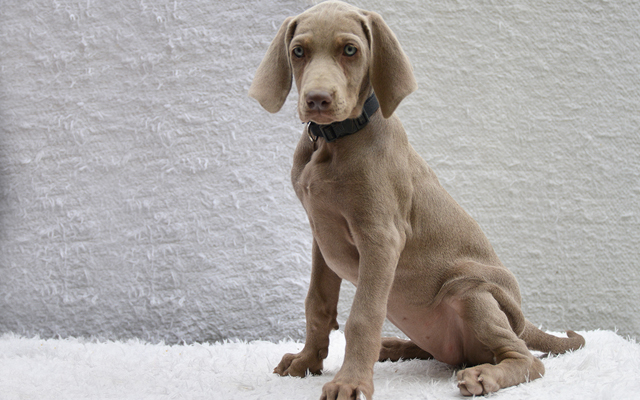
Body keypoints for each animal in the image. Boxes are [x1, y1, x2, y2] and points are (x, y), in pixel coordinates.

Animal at [248, 1, 584, 398]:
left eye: (350, 50)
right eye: (298, 52)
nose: (317, 100)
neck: (334, 140)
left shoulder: (381, 238)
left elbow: (363, 315)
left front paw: (350, 382)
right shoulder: (321, 236)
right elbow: (317, 303)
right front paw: (306, 362)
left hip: (469, 290)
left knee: (527, 359)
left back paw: (483, 376)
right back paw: (394, 347)